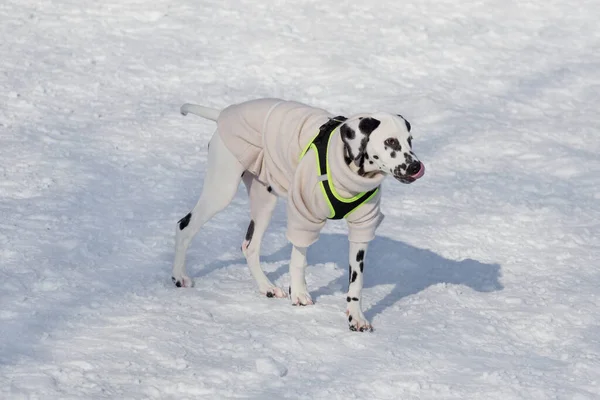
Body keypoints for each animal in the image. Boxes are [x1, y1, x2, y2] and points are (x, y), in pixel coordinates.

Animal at [171, 97, 424, 332]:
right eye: (390, 141)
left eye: (410, 140)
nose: (415, 166)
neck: (348, 170)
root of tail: (223, 114)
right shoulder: (303, 215)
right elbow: (298, 260)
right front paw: (300, 294)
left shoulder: (363, 227)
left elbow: (356, 281)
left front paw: (356, 317)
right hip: (221, 191)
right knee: (185, 226)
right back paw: (178, 276)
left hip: (264, 203)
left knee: (250, 246)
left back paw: (266, 287)